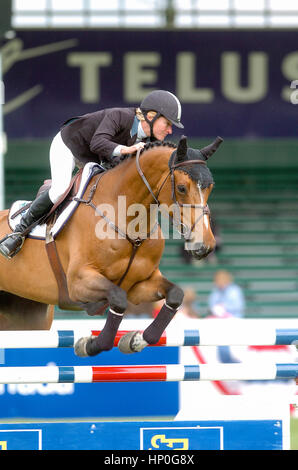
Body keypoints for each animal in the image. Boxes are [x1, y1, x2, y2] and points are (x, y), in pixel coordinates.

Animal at [0, 136, 221, 356]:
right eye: (182, 188)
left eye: (211, 187)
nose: (205, 245)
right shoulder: (79, 282)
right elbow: (118, 299)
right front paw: (89, 345)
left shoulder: (138, 285)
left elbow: (175, 295)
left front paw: (136, 339)